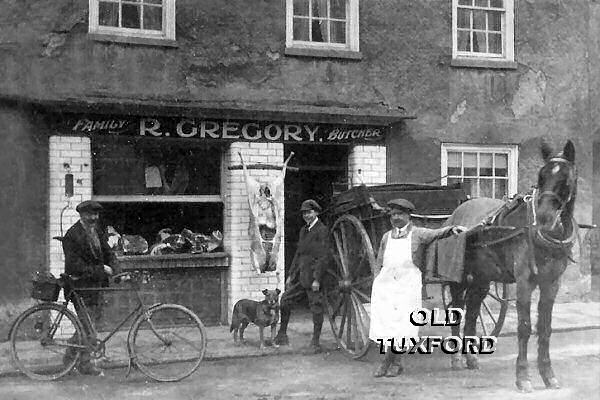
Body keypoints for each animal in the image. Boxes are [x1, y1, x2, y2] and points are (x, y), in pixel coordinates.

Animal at [446, 140, 576, 390]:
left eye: (566, 177)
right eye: (541, 176)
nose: (544, 217)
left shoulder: (552, 283)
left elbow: (545, 328)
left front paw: (548, 374)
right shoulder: (525, 281)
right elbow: (524, 327)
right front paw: (523, 377)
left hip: (481, 279)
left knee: (473, 312)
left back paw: (471, 358)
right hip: (459, 278)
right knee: (457, 310)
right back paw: (456, 358)